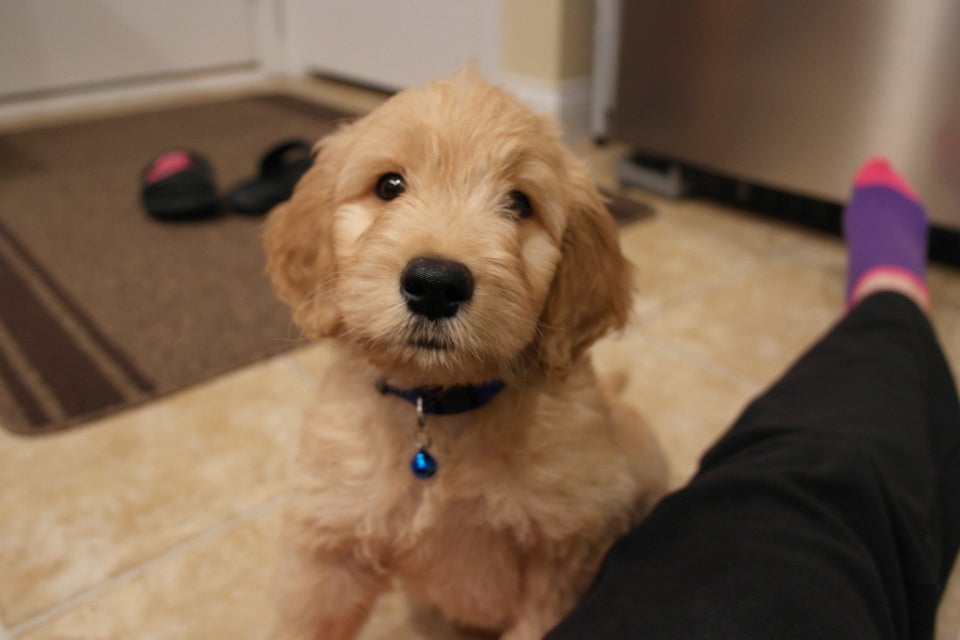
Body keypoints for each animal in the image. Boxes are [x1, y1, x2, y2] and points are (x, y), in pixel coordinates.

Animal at [262, 69, 668, 640]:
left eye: (519, 203)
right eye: (389, 185)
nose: (435, 285)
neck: (438, 410)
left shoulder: (560, 551)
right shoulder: (330, 545)